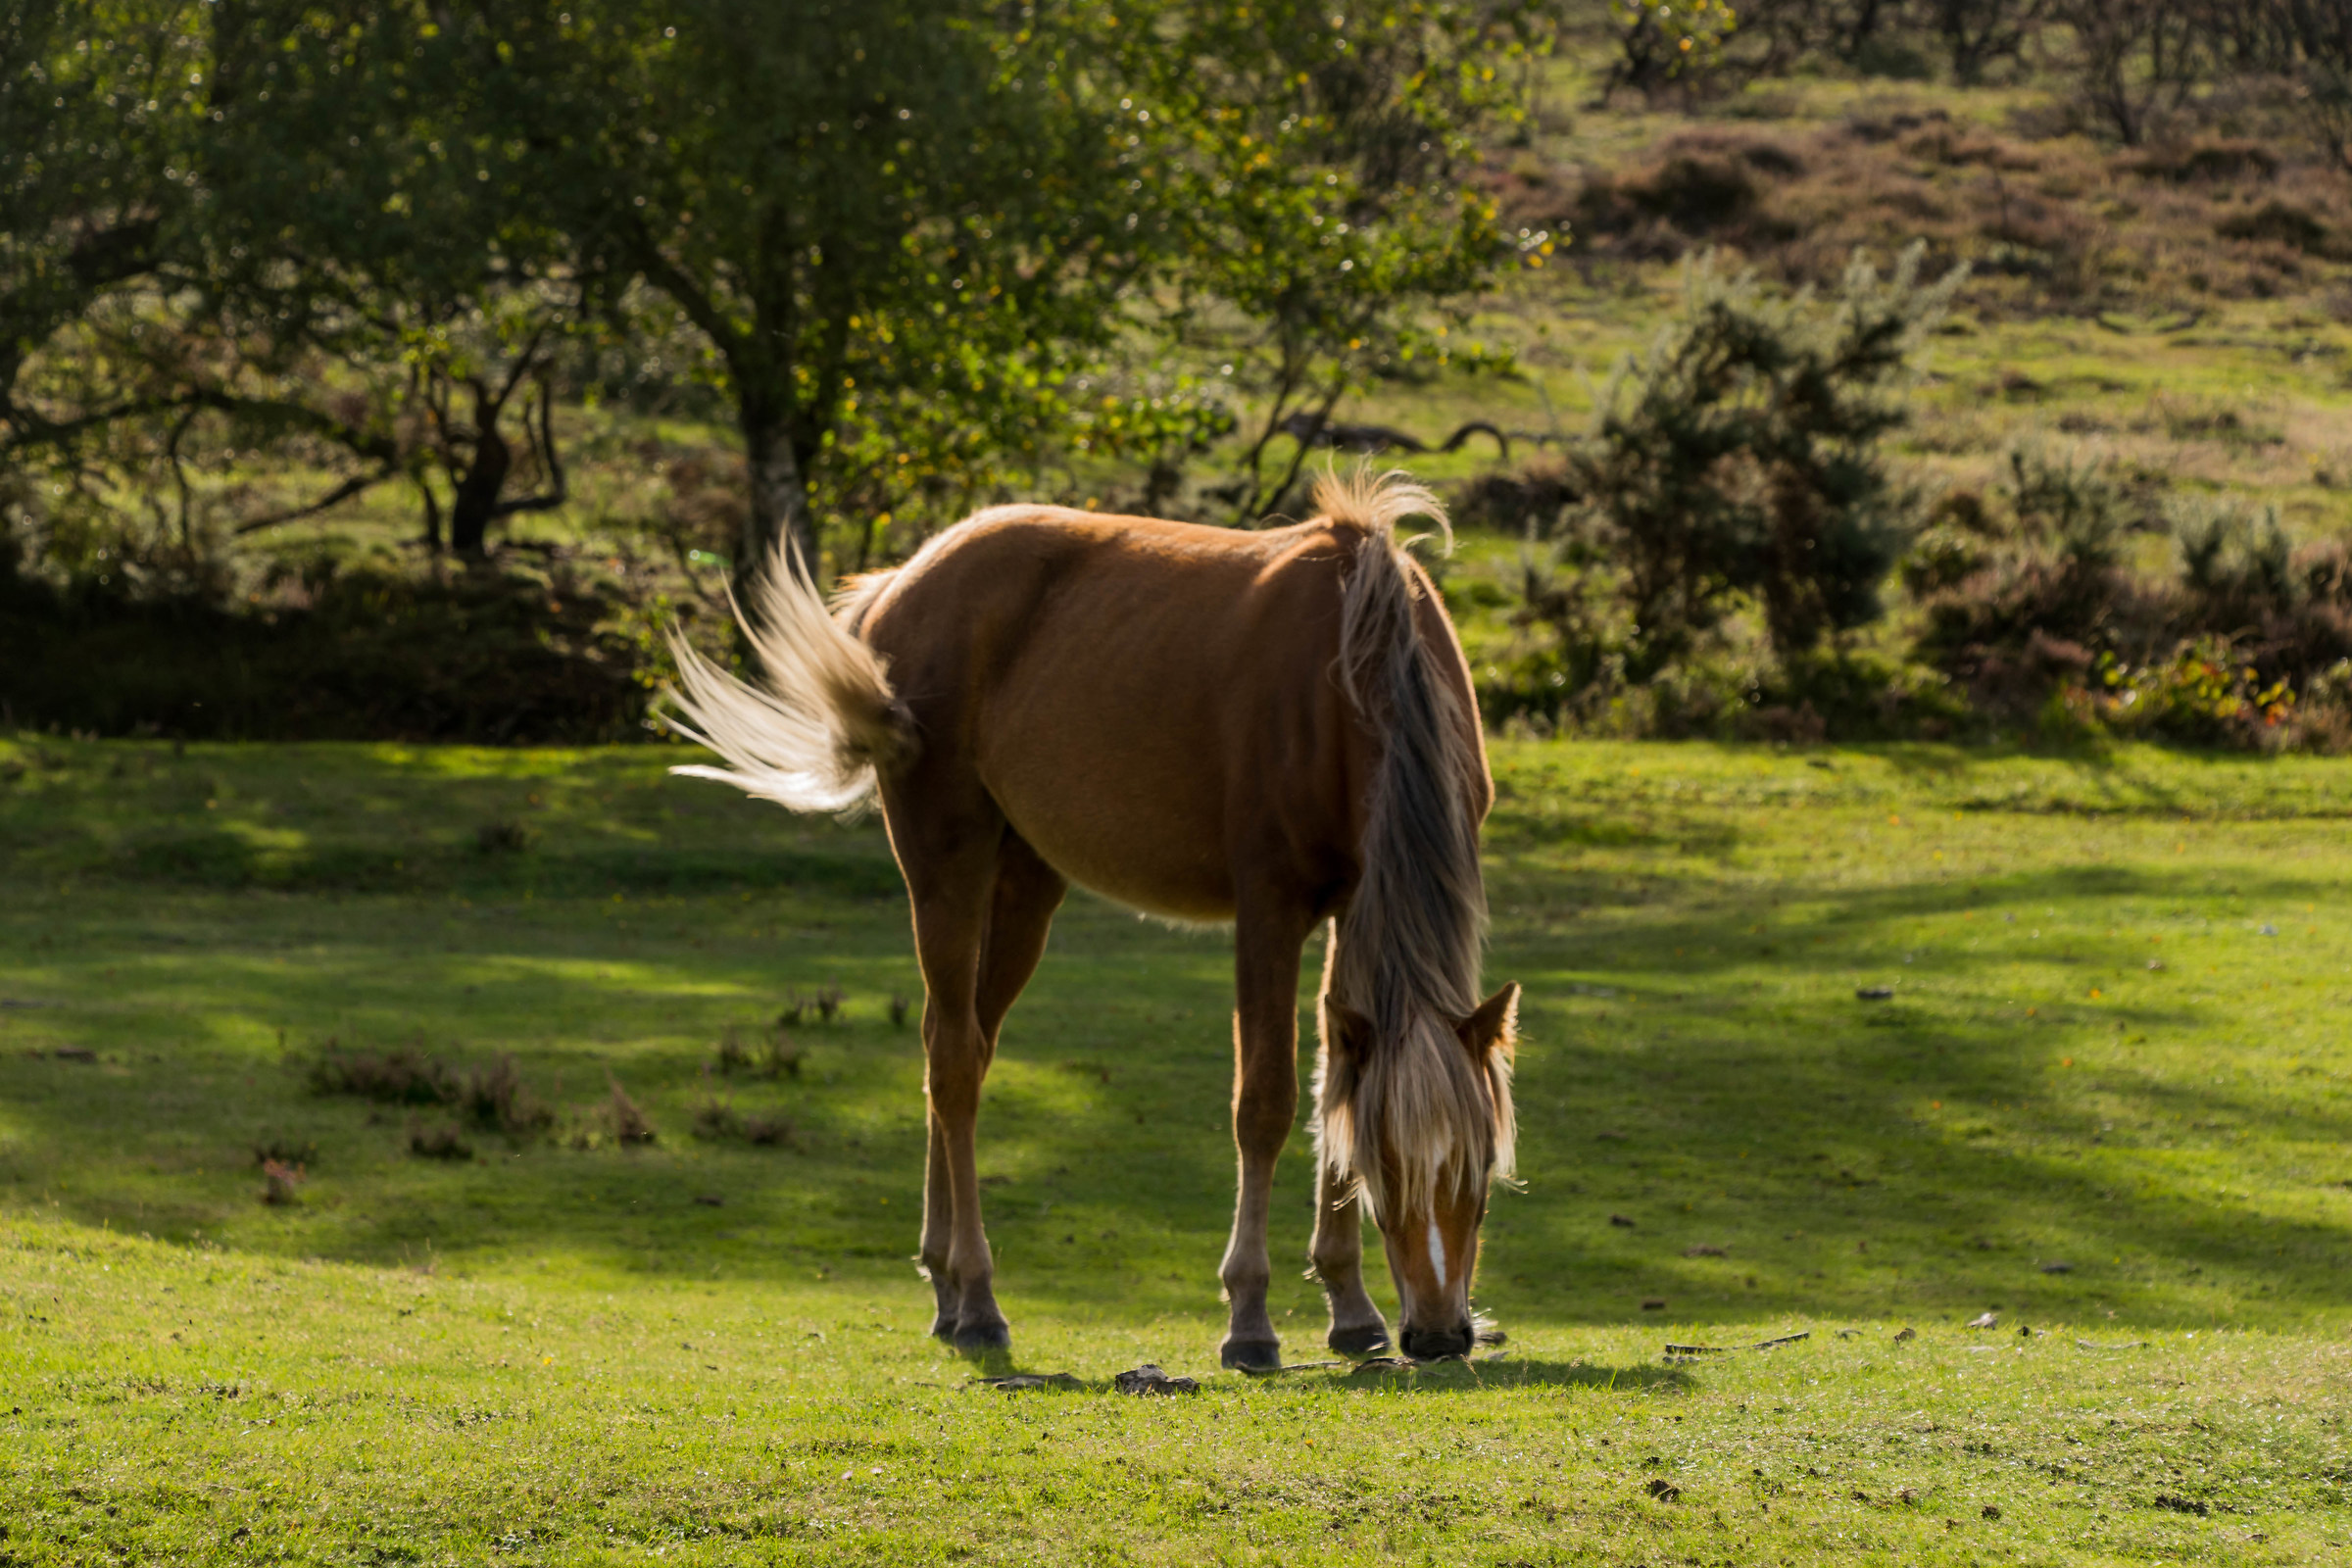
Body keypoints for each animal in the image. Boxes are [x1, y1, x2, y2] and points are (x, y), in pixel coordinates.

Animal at [663, 470, 1519, 1368]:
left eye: (1481, 1171)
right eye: (1389, 1168)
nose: (1439, 1333)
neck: (1351, 673)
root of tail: (904, 580)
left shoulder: (1354, 907)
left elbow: (1333, 1088)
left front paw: (1351, 1307)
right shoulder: (1270, 910)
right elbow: (1267, 1102)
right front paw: (1249, 1316)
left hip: (1026, 888)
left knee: (959, 1044)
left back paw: (945, 1282)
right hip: (946, 867)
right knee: (955, 1063)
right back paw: (979, 1299)